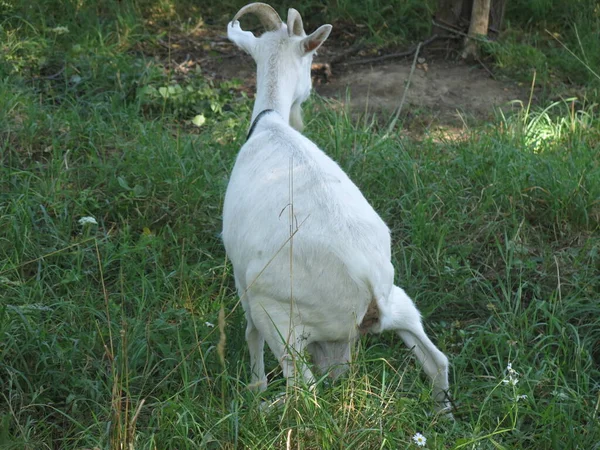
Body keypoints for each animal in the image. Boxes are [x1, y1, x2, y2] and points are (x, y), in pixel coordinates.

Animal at [223, 2, 452, 412]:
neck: (270, 123)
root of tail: (369, 292)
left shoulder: (241, 275)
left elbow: (249, 333)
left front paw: (254, 386)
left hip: (280, 319)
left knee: (303, 392)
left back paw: (264, 408)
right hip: (398, 302)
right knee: (436, 359)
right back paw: (444, 415)